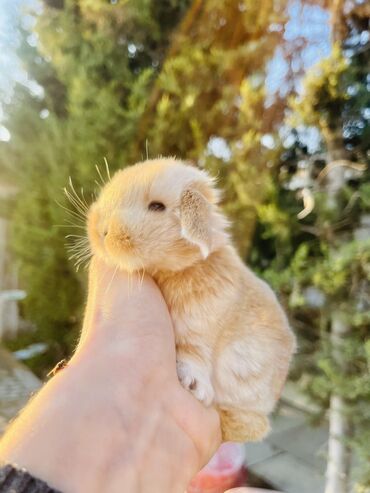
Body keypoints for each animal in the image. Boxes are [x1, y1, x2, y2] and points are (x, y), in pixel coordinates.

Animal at [86, 158, 294, 442]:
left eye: (157, 207)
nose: (101, 231)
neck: (175, 271)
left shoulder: (199, 326)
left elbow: (193, 352)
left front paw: (193, 384)